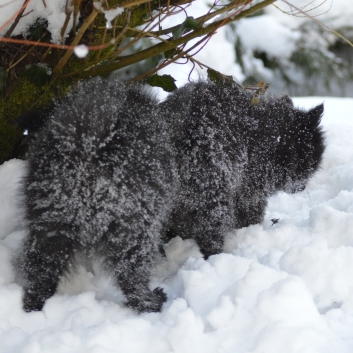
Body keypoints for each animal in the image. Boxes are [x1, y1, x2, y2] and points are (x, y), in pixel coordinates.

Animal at [16, 78, 176, 312]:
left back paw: (34, 301)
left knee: (42, 264)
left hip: (50, 217)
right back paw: (147, 300)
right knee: (131, 269)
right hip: (133, 223)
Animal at [161, 82, 324, 258]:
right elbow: (252, 215)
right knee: (210, 234)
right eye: (310, 161)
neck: (274, 137)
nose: (303, 187)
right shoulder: (250, 188)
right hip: (213, 195)